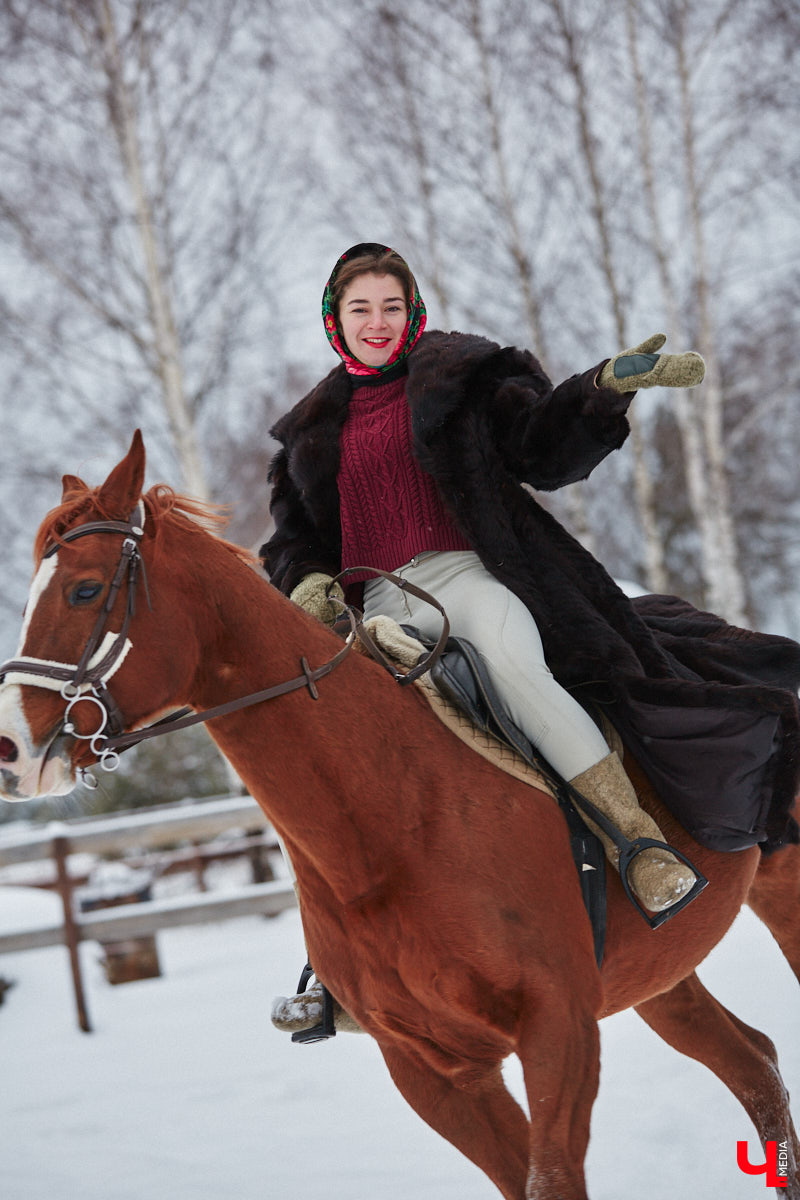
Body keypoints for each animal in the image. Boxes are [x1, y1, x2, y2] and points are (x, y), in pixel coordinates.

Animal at [0, 434, 796, 1200]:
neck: (390, 829)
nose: (10, 749)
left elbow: (552, 1180)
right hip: (656, 976)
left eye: (85, 589)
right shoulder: (431, 1069)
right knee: (753, 1063)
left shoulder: (557, 1030)